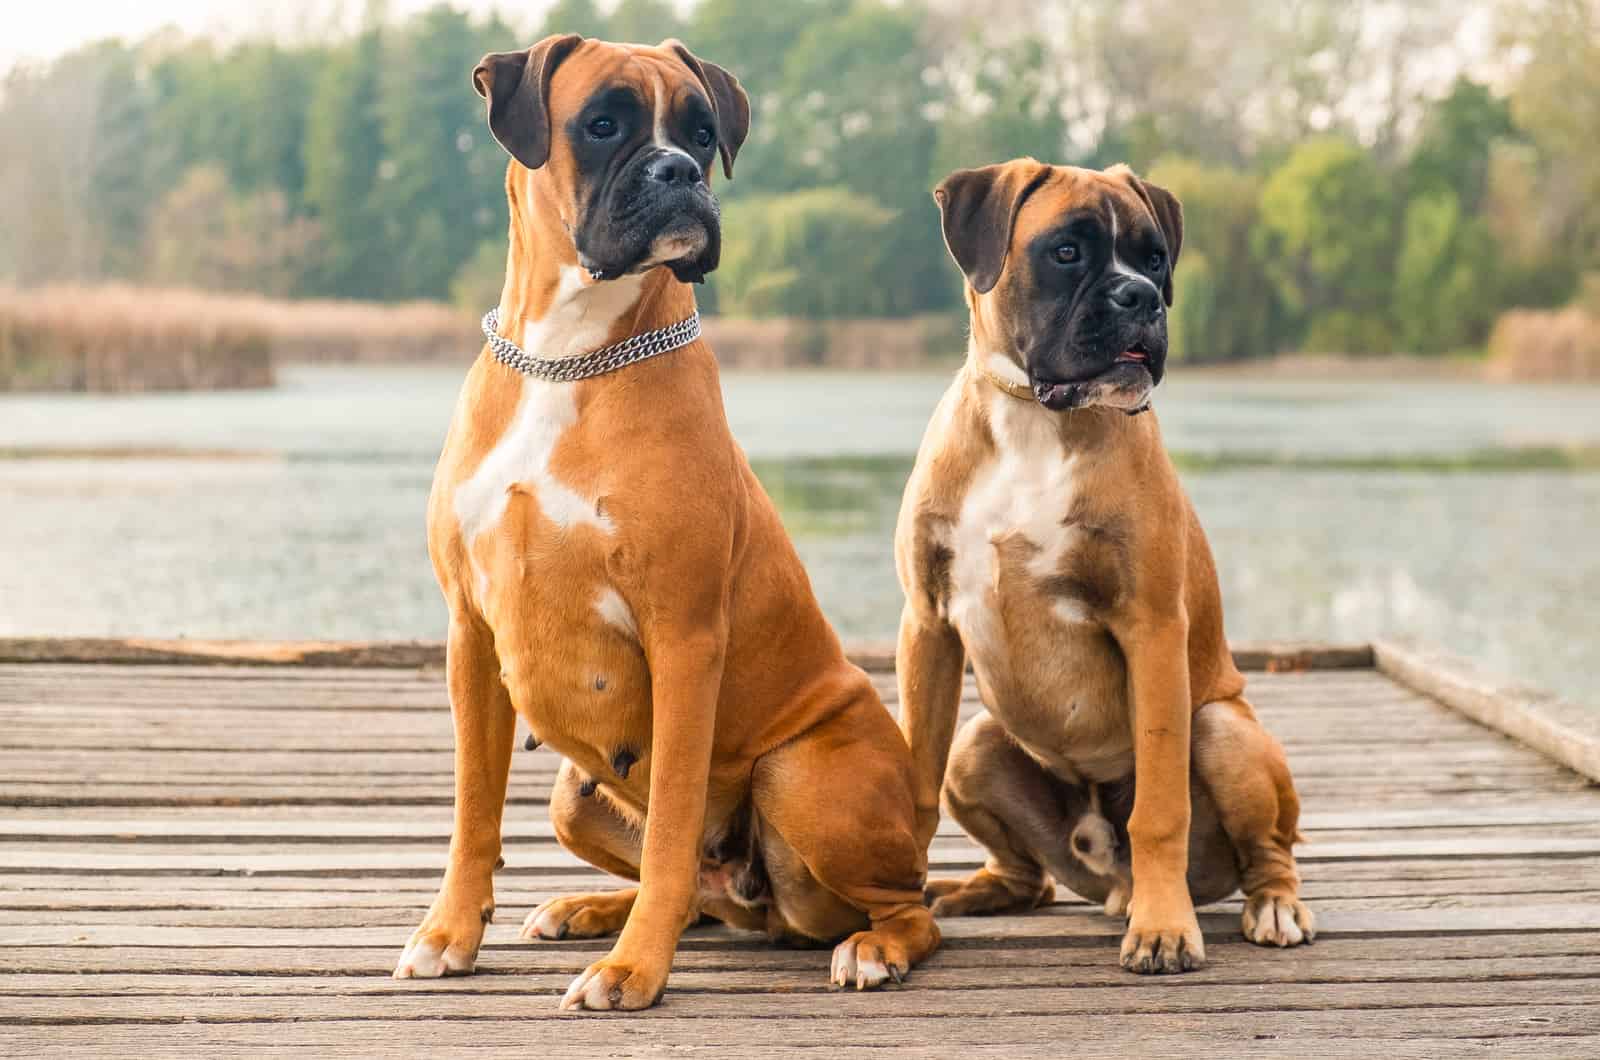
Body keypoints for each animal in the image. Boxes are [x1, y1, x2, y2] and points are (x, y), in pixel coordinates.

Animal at [896, 153, 1318, 973]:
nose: (1142, 297)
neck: (1032, 420)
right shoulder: (928, 626)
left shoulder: (1149, 629)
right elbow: (913, 786)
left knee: (1269, 848)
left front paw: (1164, 929)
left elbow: (1158, 807)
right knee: (1029, 876)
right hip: (976, 742)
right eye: (1066, 251)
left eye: (1156, 260)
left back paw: (1269, 905)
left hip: (1221, 728)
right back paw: (981, 890)